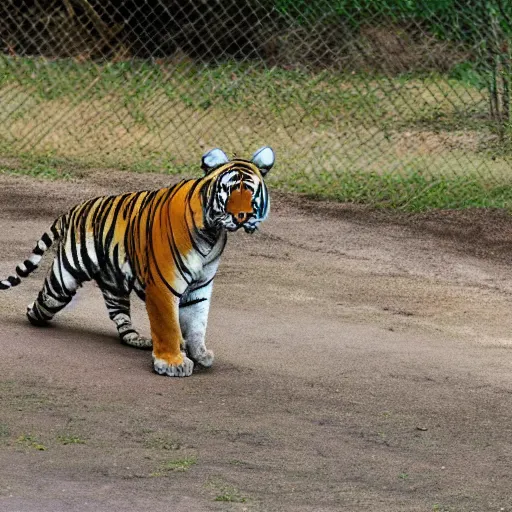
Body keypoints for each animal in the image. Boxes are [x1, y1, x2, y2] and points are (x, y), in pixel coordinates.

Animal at [1, 146, 276, 378]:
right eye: (229, 191)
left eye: (251, 192)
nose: (242, 216)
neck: (212, 233)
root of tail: (74, 209)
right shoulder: (163, 284)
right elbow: (168, 325)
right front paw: (172, 363)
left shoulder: (200, 287)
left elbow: (197, 323)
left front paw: (199, 354)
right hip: (64, 279)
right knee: (45, 300)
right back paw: (31, 314)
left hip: (114, 282)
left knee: (120, 315)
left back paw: (137, 339)